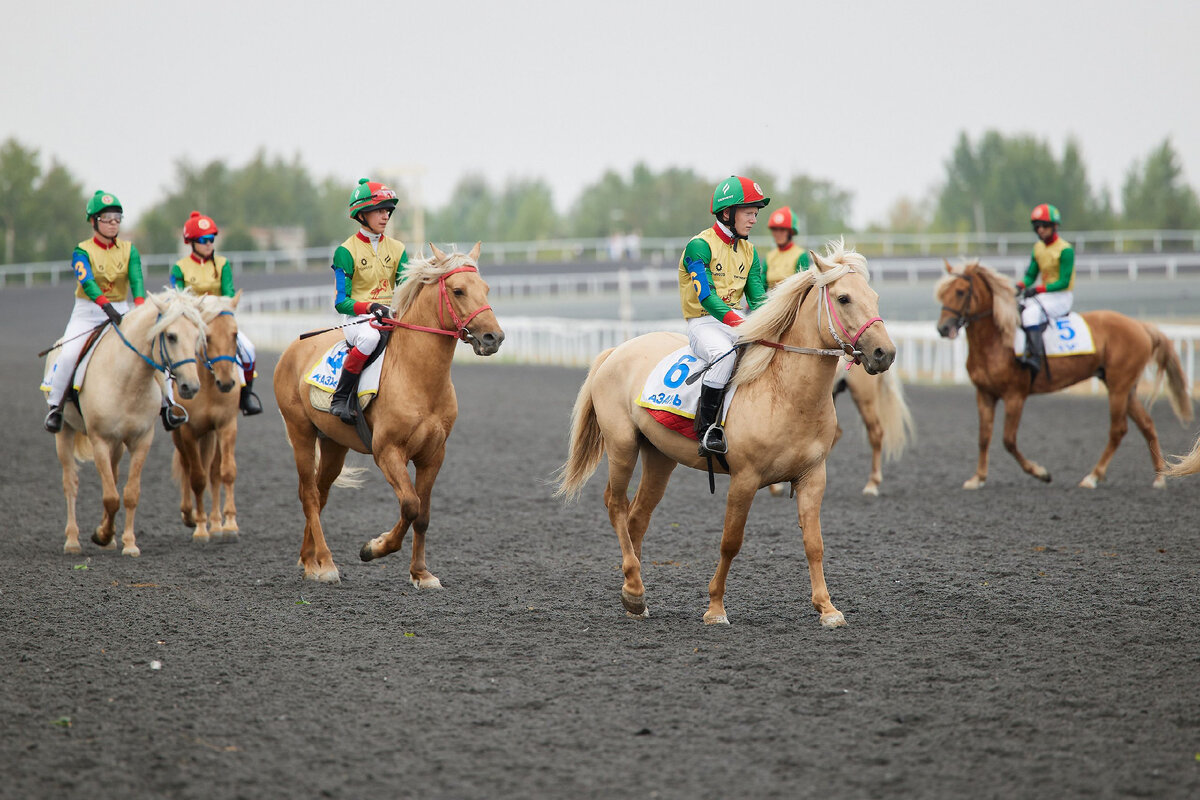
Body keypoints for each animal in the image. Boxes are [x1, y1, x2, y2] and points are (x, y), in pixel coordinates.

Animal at [48, 289, 204, 556]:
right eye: (171, 336)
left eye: (196, 335)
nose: (191, 387)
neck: (127, 380)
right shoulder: (99, 440)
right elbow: (111, 497)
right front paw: (102, 535)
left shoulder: (141, 440)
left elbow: (129, 494)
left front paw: (126, 543)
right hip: (65, 433)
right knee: (71, 483)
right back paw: (72, 541)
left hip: (117, 444)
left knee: (112, 476)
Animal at [171, 293, 243, 544]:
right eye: (207, 337)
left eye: (235, 334)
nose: (227, 382)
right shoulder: (189, 431)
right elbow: (197, 478)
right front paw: (201, 528)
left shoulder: (226, 426)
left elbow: (226, 472)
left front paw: (229, 525)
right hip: (180, 434)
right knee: (186, 465)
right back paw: (189, 514)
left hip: (211, 434)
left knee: (213, 470)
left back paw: (216, 522)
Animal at [274, 241, 504, 585]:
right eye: (459, 290)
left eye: (486, 288)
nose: (494, 338)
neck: (416, 376)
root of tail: (292, 349)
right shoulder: (388, 451)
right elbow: (410, 505)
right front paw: (374, 547)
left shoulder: (433, 454)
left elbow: (423, 514)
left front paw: (421, 573)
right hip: (300, 431)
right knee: (309, 494)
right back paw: (325, 564)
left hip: (333, 443)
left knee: (319, 491)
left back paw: (308, 560)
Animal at [556, 241, 897, 628]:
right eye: (843, 298)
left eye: (874, 296)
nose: (884, 353)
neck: (785, 392)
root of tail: (618, 350)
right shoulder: (745, 478)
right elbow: (730, 542)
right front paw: (715, 608)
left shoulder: (813, 476)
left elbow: (814, 543)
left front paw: (827, 608)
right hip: (622, 445)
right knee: (616, 505)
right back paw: (634, 588)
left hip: (659, 456)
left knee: (637, 517)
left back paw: (635, 594)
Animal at [936, 261, 1190, 489]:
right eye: (941, 294)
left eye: (960, 291)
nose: (943, 328)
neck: (997, 341)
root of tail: (1141, 326)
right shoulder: (985, 394)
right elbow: (983, 438)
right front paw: (978, 478)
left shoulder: (1015, 395)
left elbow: (1008, 441)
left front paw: (1040, 473)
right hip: (1125, 388)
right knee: (1146, 424)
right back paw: (1159, 477)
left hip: (1119, 387)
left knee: (1118, 430)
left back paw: (1093, 477)